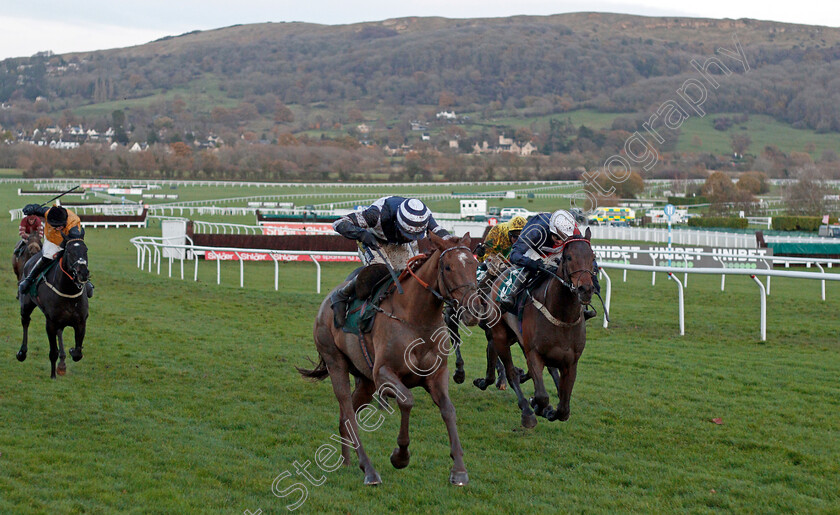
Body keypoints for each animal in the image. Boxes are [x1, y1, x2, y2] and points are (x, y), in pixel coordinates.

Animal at [18, 238, 90, 378]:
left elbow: (78, 353)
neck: (69, 291)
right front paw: (53, 376)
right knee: (25, 321)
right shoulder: (51, 322)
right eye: (70, 252)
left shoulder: (81, 322)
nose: (83, 273)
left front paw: (71, 351)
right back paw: (22, 353)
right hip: (26, 305)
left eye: (86, 250)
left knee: (60, 331)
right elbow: (53, 352)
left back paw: (62, 363)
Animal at [298, 234, 476, 488]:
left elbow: (448, 410)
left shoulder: (436, 375)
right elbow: (407, 400)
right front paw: (400, 456)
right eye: (448, 267)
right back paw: (369, 470)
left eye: (474, 264)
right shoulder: (383, 373)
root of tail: (325, 304)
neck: (417, 320)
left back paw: (347, 461)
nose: (475, 307)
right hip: (336, 362)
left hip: (365, 381)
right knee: (348, 412)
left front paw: (459, 470)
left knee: (345, 419)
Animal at [486, 232, 596, 430]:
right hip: (500, 336)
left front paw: (550, 410)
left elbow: (564, 408)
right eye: (568, 257)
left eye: (593, 258)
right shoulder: (534, 354)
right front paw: (537, 406)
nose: (586, 289)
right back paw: (526, 411)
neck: (562, 317)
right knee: (510, 373)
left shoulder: (571, 363)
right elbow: (542, 396)